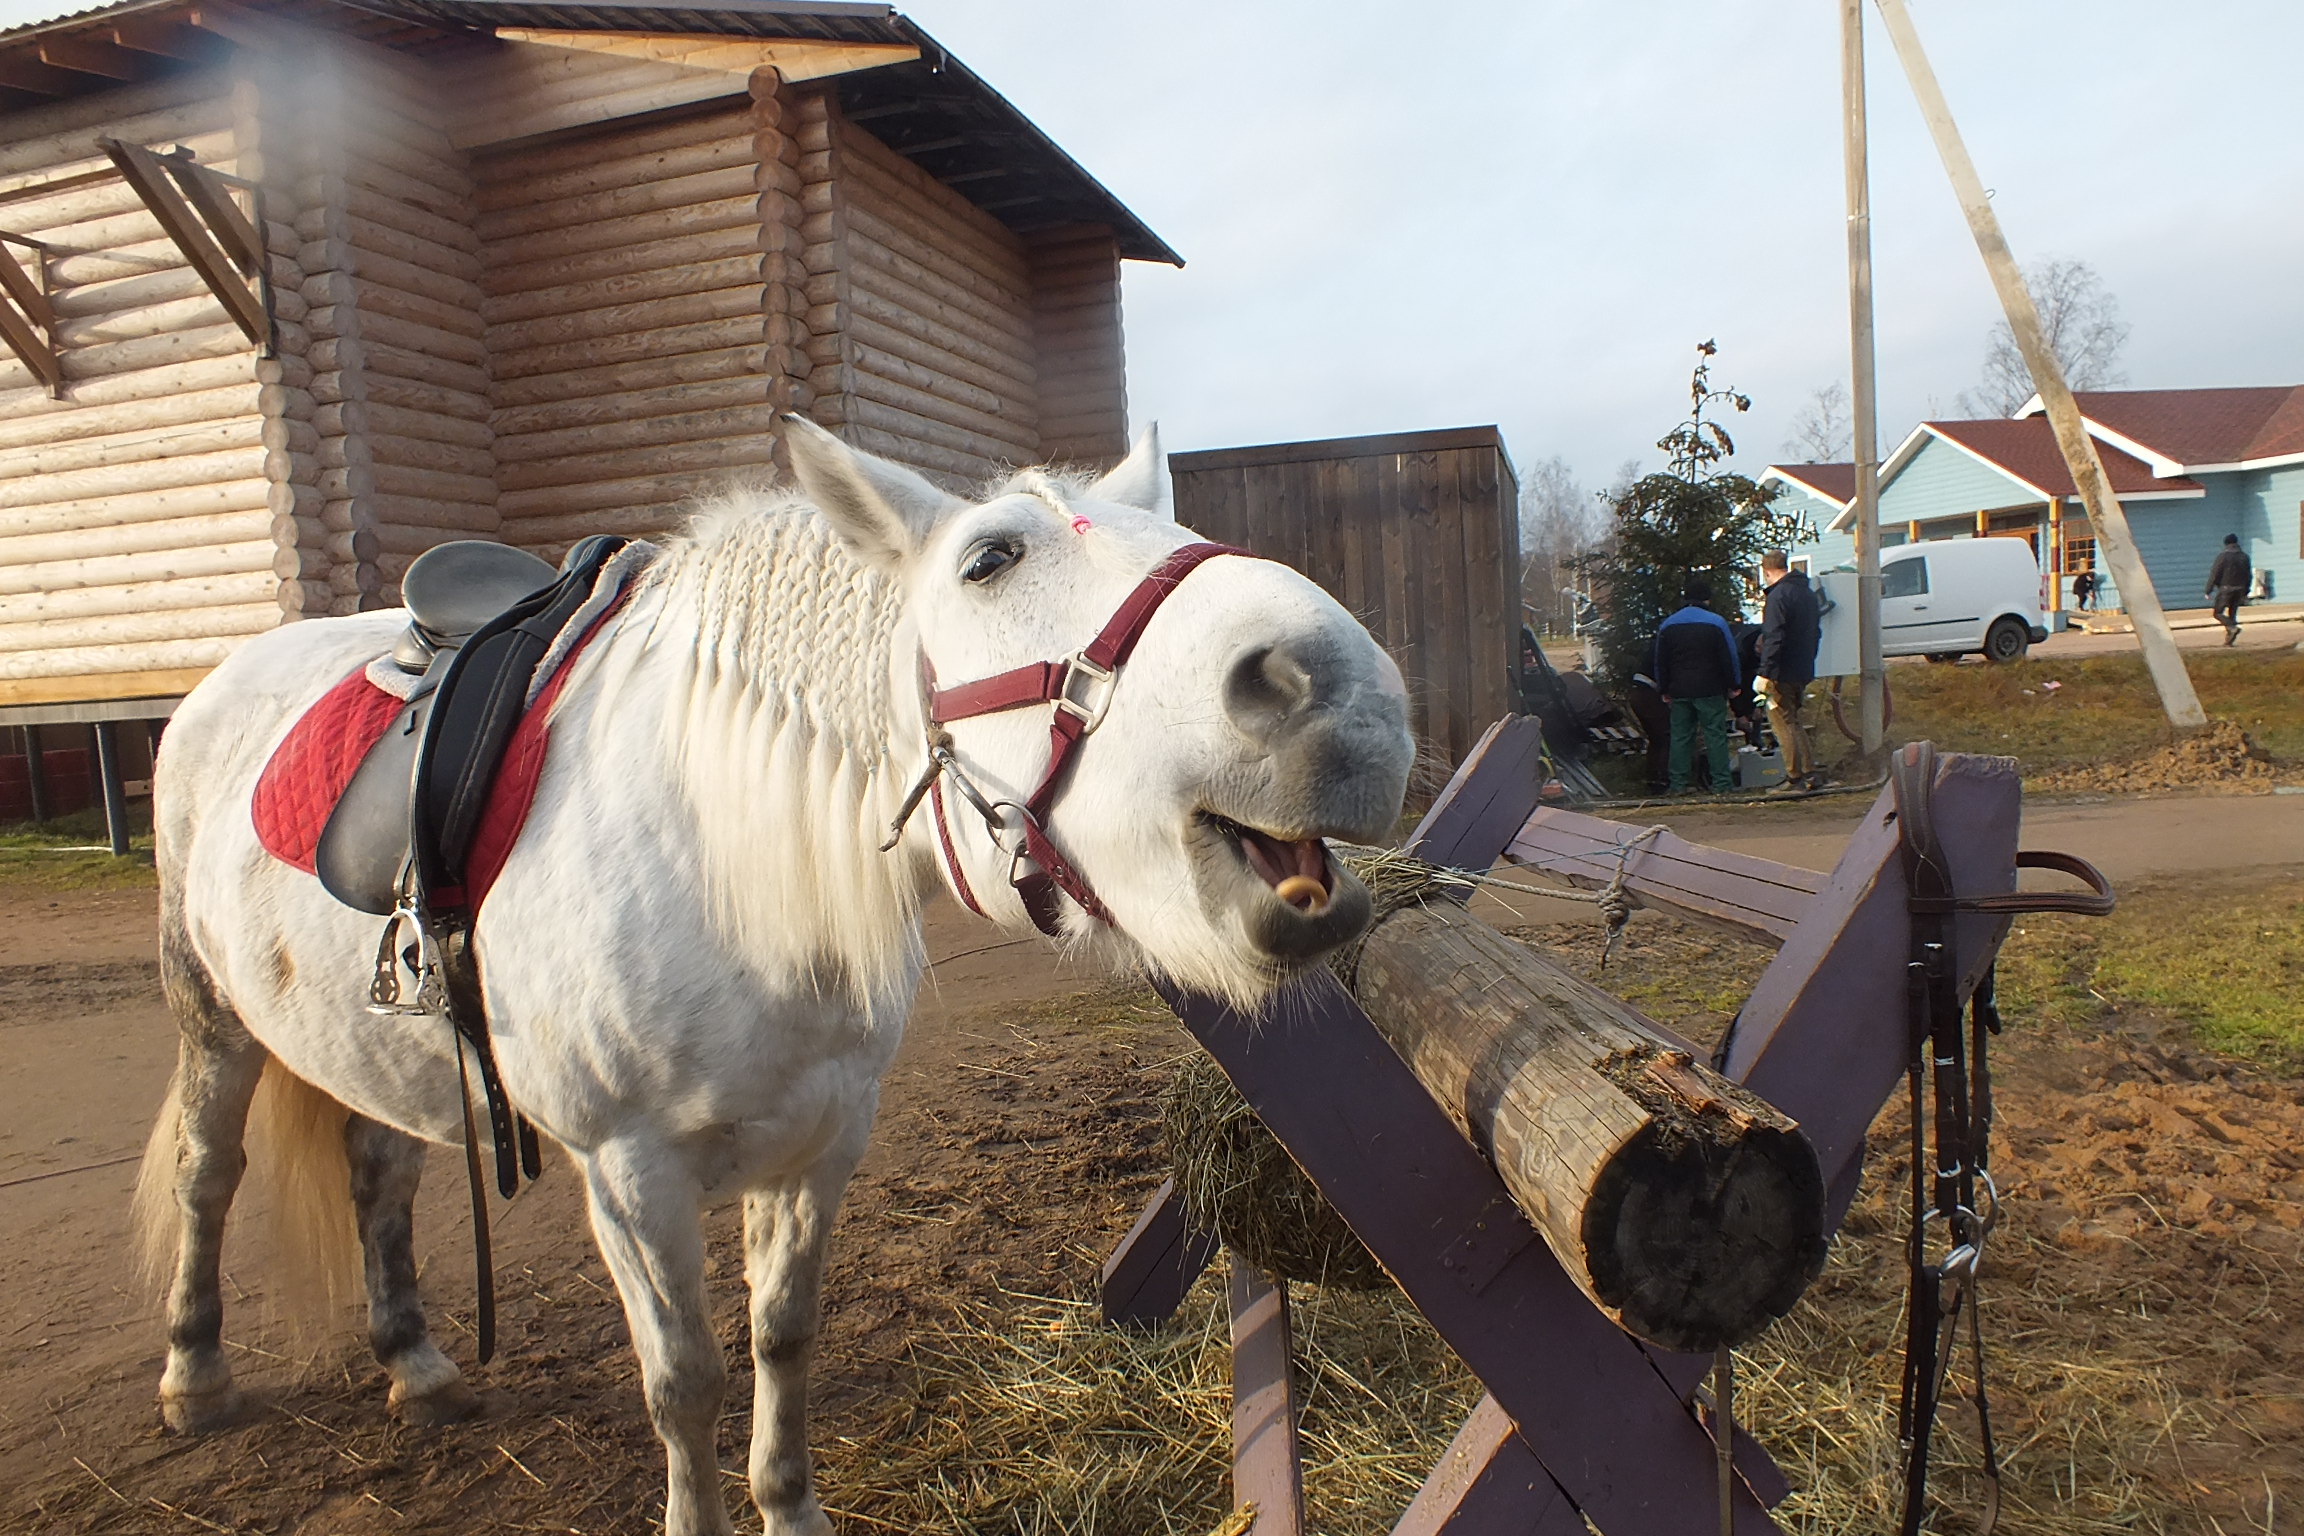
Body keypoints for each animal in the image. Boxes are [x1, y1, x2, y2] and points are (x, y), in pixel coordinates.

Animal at [139, 421, 1419, 1536]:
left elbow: (782, 1340)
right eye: (989, 559)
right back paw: (195, 1371)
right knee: (209, 1174)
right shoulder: (629, 1172)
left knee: (378, 1172)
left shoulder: (821, 1138)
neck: (717, 863)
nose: (1340, 689)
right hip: (209, 1017)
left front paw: (790, 1508)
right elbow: (684, 1382)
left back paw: (413, 1357)